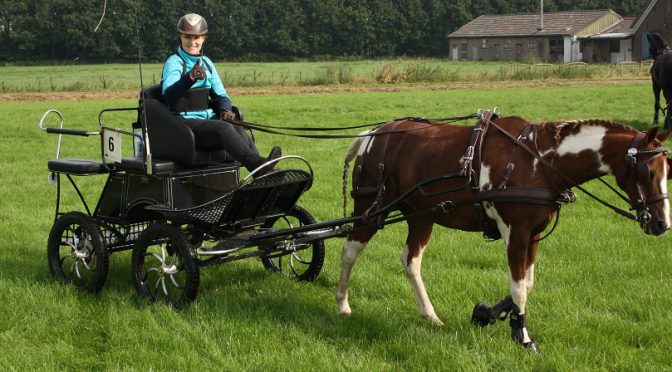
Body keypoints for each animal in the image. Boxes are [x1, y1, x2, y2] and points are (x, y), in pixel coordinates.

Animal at [338, 115, 668, 352]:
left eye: (670, 170)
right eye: (648, 172)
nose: (662, 224)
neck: (539, 161)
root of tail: (371, 136)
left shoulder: (534, 234)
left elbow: (528, 283)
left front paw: (489, 313)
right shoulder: (516, 231)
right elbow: (519, 287)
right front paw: (523, 336)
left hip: (422, 216)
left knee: (411, 260)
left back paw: (429, 314)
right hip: (370, 210)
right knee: (349, 251)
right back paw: (342, 304)